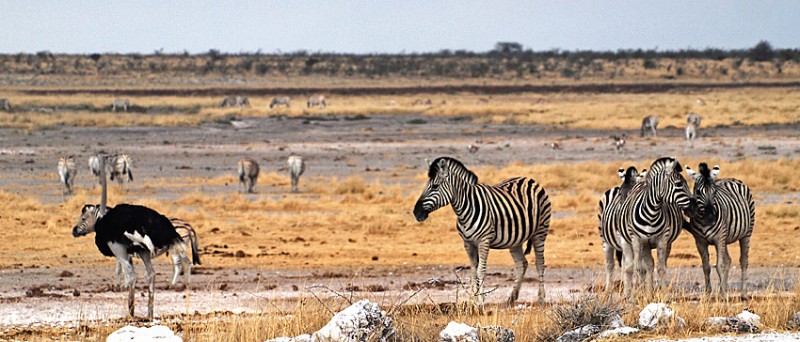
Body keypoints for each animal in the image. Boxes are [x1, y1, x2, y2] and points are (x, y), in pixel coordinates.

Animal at [412, 157, 552, 304]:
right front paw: (473, 299)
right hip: (516, 239)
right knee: (522, 264)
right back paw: (511, 298)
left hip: (540, 231)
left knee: (540, 263)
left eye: (435, 186)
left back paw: (541, 298)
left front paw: (480, 301)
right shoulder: (468, 243)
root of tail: (530, 179)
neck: (466, 208)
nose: (416, 212)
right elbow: (473, 271)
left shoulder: (484, 241)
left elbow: (481, 270)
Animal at [616, 157, 696, 296]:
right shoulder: (636, 240)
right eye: (679, 184)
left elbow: (661, 268)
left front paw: (663, 293)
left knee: (651, 265)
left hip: (654, 244)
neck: (652, 213)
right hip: (630, 241)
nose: (695, 205)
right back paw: (629, 293)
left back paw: (649, 293)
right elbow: (637, 267)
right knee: (630, 267)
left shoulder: (662, 239)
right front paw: (635, 294)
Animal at [684, 163, 752, 300]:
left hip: (746, 232)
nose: (710, 218)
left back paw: (743, 294)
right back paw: (722, 290)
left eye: (714, 191)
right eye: (698, 192)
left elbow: (720, 265)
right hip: (725, 238)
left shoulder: (719, 238)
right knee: (728, 260)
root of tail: (731, 179)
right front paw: (708, 294)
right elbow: (706, 267)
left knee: (743, 261)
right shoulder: (700, 242)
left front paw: (724, 296)